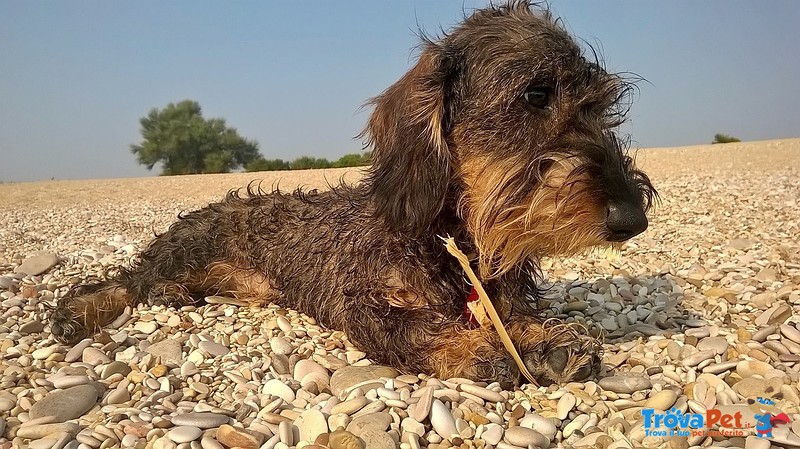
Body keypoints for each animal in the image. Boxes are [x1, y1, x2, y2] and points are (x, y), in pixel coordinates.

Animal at [54, 1, 656, 384]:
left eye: (602, 104)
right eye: (536, 94)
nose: (632, 218)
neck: (450, 240)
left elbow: (514, 317)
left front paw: (548, 338)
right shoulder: (363, 303)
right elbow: (415, 328)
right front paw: (477, 350)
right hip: (187, 249)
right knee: (125, 282)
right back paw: (83, 311)